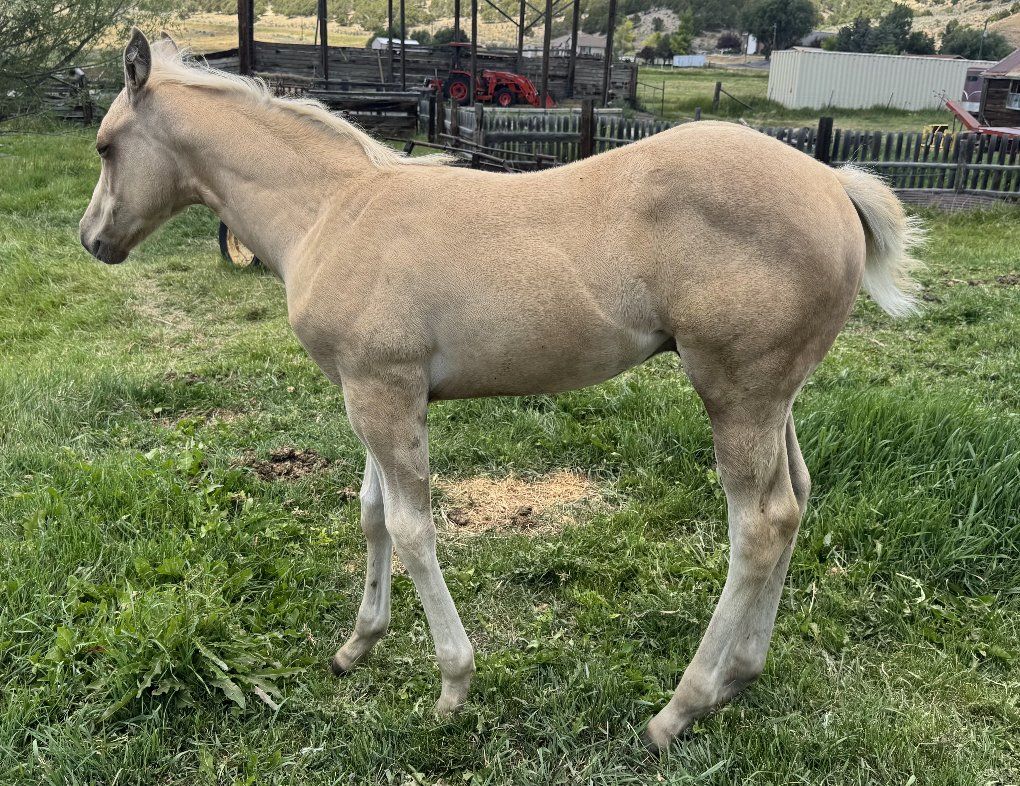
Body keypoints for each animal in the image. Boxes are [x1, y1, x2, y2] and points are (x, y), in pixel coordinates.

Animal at [79, 29, 921, 750]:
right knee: (796, 500)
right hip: (775, 397)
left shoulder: (381, 394)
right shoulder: (372, 390)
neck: (332, 211)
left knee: (760, 525)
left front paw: (453, 685)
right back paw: (741, 677)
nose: (93, 241)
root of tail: (831, 182)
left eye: (106, 145)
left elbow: (413, 529)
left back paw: (678, 709)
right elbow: (373, 515)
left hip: (736, 391)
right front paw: (357, 646)